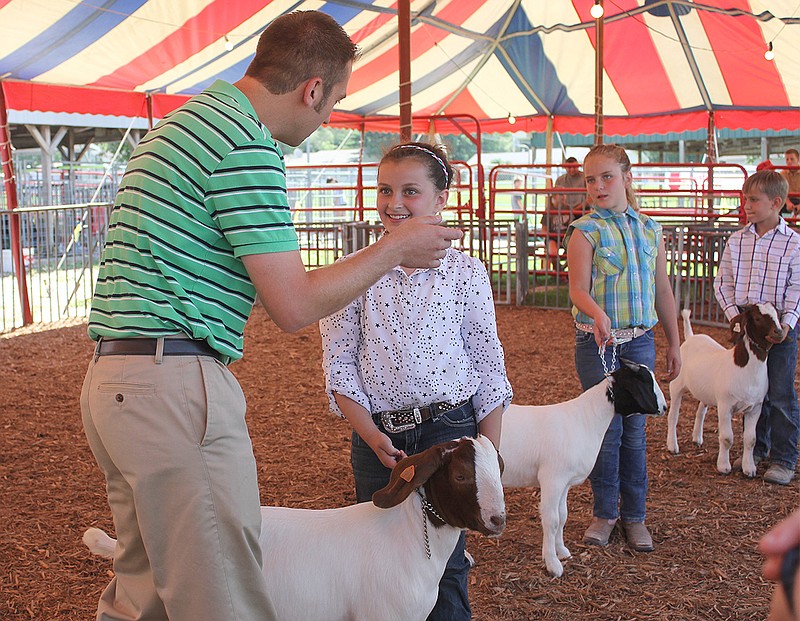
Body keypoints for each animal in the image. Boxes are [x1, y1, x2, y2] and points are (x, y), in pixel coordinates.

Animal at [664, 304, 784, 474]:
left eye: (778, 314)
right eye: (757, 318)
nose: (779, 332)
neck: (744, 368)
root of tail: (690, 337)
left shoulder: (755, 408)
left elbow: (751, 440)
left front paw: (749, 469)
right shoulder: (725, 405)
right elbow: (727, 438)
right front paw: (723, 466)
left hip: (705, 391)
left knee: (700, 411)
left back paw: (697, 438)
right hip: (676, 385)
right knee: (673, 416)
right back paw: (672, 446)